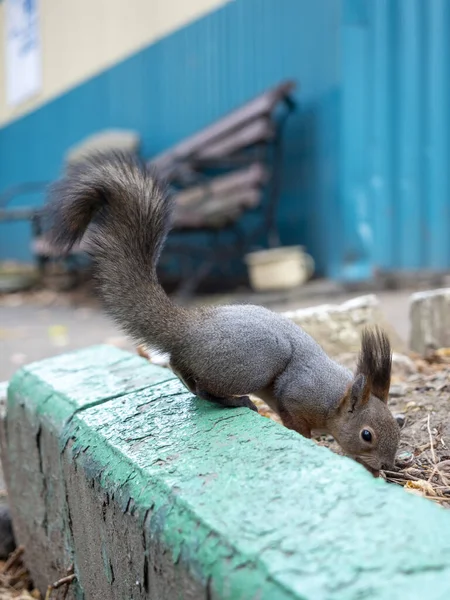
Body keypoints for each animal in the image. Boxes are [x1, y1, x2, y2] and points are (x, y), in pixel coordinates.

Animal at [44, 152, 400, 476]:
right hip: (254, 364)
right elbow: (294, 419)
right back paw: (237, 401)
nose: (388, 466)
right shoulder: (295, 396)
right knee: (205, 388)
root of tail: (190, 329)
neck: (335, 397)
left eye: (397, 427)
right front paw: (306, 439)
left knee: (180, 367)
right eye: (366, 435)